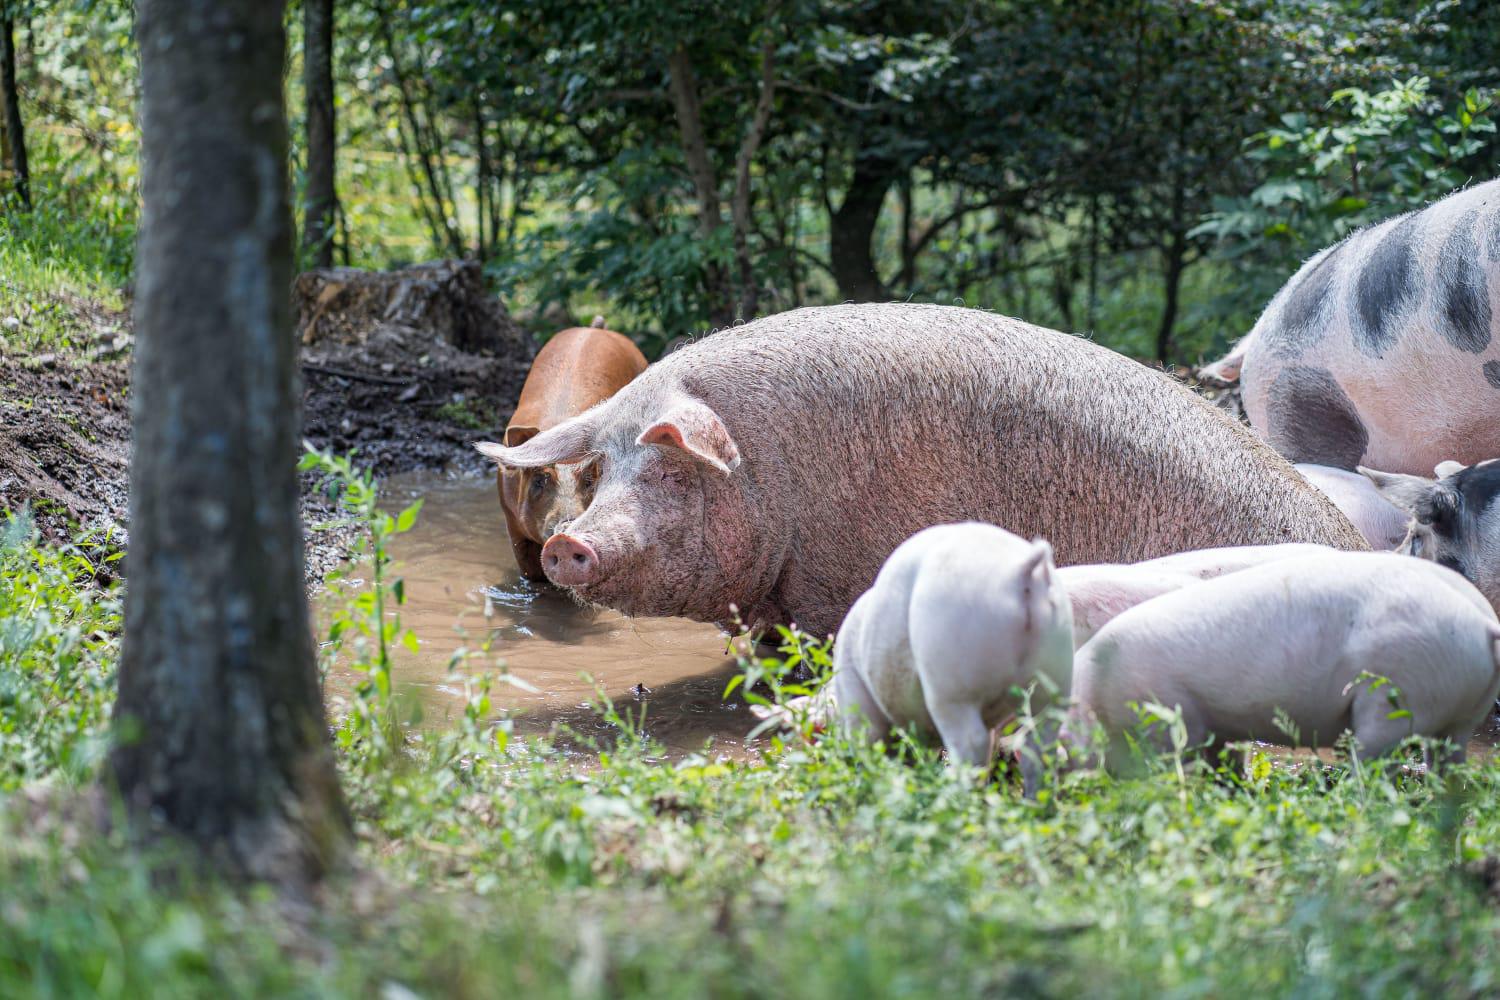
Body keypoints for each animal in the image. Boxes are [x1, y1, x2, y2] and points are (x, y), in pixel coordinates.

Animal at [832, 523, 1074, 771]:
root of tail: (1022, 574)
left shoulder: (854, 691)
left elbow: (869, 740)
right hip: (1057, 669)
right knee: (1041, 743)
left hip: (953, 677)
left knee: (972, 743)